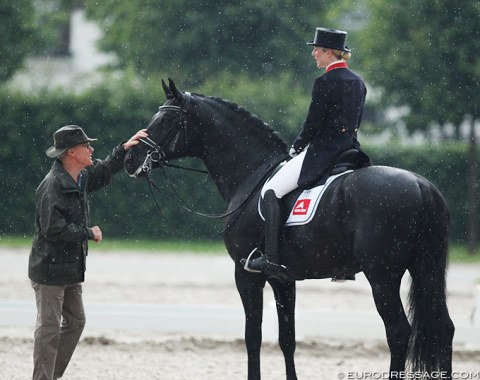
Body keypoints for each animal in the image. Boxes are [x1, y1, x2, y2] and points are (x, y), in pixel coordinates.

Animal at [124, 78, 454, 378]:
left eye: (166, 120)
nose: (129, 158)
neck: (252, 174)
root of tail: (421, 186)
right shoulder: (283, 279)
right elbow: (287, 339)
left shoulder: (246, 274)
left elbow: (253, 336)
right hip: (424, 268)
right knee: (444, 328)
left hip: (383, 275)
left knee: (398, 332)